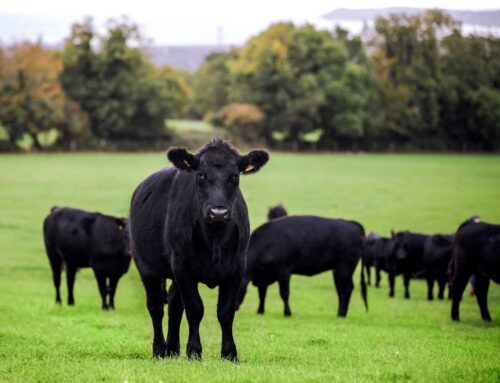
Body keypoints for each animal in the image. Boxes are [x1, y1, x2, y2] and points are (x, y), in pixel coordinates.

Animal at [129, 140, 270, 362]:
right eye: (201, 175)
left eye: (235, 176)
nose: (218, 212)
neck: (215, 240)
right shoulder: (183, 268)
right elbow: (195, 309)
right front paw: (194, 351)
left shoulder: (237, 268)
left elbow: (225, 311)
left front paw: (229, 353)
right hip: (146, 266)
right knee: (156, 306)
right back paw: (160, 350)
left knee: (174, 304)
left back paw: (172, 349)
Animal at [234, 216, 368, 318]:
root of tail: (352, 223)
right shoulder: (262, 276)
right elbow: (262, 295)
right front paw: (260, 311)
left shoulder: (284, 271)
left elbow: (284, 293)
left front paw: (287, 313)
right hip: (337, 270)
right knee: (340, 289)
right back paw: (340, 312)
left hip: (346, 266)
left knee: (347, 288)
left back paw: (342, 314)